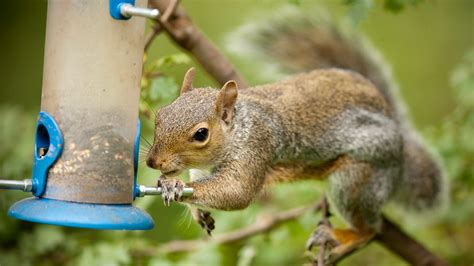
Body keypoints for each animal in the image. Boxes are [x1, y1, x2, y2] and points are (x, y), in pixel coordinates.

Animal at [146, 7, 446, 260]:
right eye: (161, 114)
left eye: (201, 134)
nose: (152, 161)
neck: (238, 129)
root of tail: (401, 152)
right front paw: (196, 209)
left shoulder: (257, 147)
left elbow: (237, 192)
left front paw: (174, 186)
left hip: (356, 181)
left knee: (371, 229)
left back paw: (341, 237)